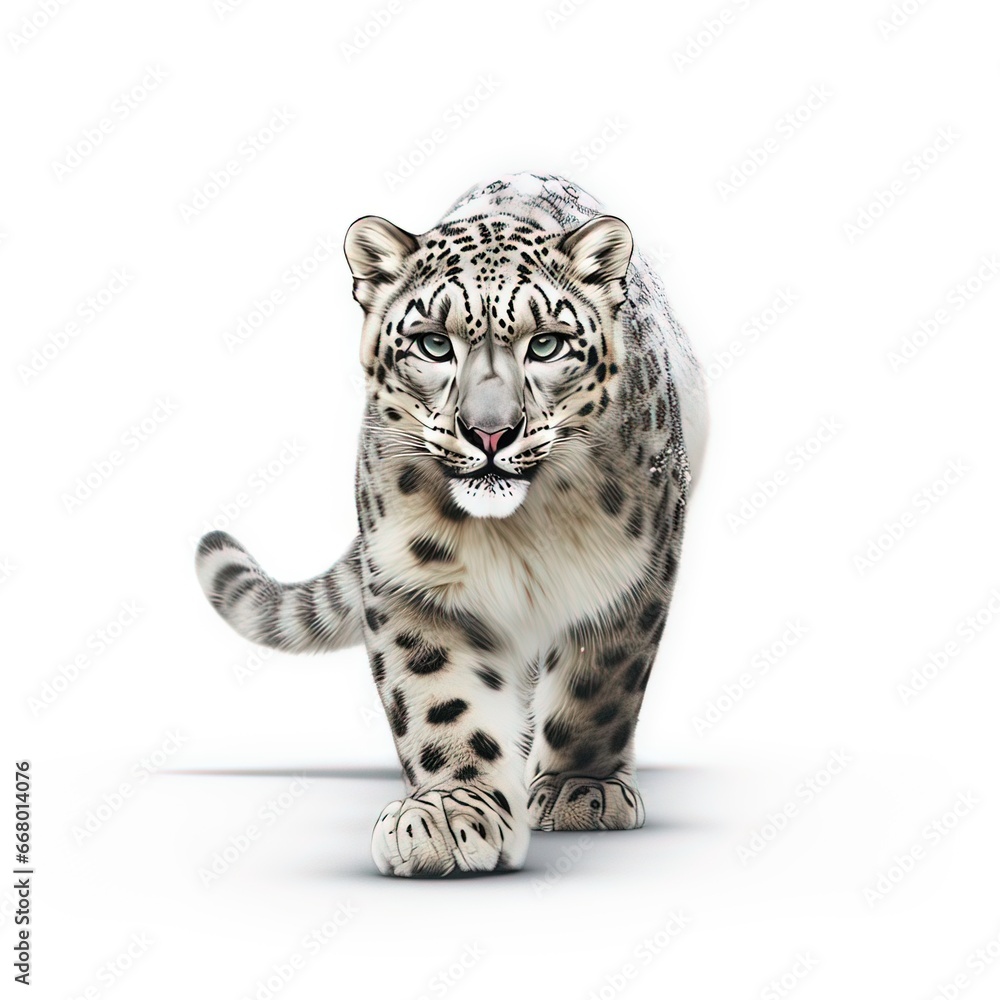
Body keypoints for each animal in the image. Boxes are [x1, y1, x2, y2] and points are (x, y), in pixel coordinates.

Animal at [195, 171, 707, 877]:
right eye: (434, 343)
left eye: (546, 342)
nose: (490, 432)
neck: (519, 529)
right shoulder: (411, 577)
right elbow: (440, 698)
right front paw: (446, 815)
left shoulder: (632, 572)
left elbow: (599, 683)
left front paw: (581, 788)